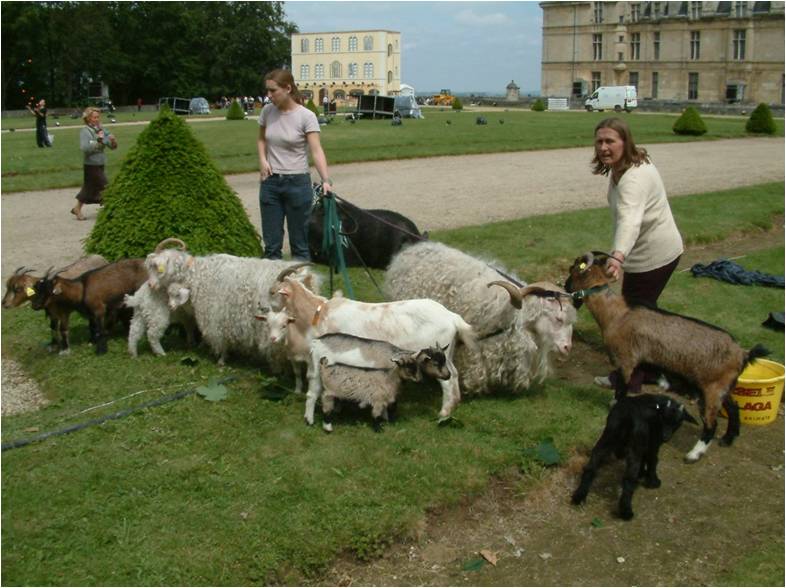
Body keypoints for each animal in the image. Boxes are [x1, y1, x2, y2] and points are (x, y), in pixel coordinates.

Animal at [272, 268, 474, 424]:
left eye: (273, 291)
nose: (267, 307)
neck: (319, 312)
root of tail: (452, 317)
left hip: (435, 358)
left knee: (447, 382)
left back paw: (442, 414)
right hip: (447, 353)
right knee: (454, 375)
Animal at [386, 239, 576, 396]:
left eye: (570, 322)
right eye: (558, 319)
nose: (567, 348)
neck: (512, 314)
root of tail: (411, 250)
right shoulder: (474, 345)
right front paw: (473, 387)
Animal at [564, 250, 764, 462]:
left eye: (572, 269)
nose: (565, 287)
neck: (616, 314)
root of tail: (742, 353)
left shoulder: (627, 361)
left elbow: (622, 388)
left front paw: (614, 405)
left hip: (712, 389)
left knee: (711, 425)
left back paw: (694, 454)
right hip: (723, 387)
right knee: (734, 409)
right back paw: (727, 439)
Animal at [568, 396, 700, 520]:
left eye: (677, 422)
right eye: (663, 418)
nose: (665, 436)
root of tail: (627, 415)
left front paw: (642, 473)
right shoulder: (653, 442)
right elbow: (653, 460)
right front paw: (653, 481)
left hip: (608, 436)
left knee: (591, 466)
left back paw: (579, 496)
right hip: (635, 444)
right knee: (629, 478)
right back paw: (626, 511)